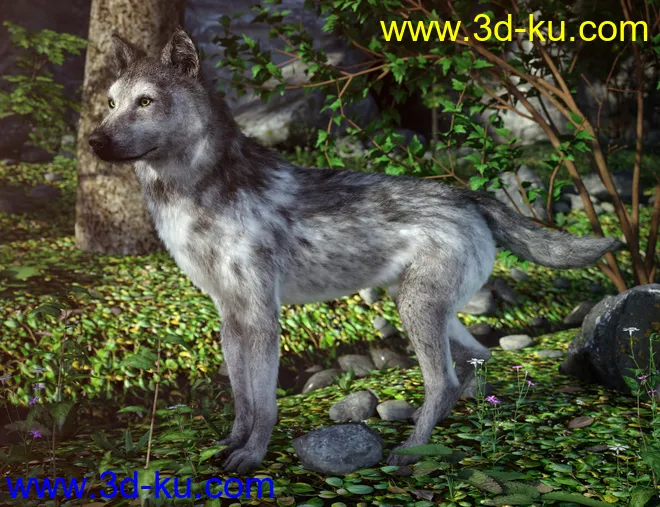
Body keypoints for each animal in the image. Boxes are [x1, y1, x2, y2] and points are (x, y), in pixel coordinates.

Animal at [88, 29, 621, 474]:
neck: (195, 193)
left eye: (146, 101)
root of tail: (467, 194)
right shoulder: (231, 317)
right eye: (111, 102)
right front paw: (230, 446)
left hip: (415, 311)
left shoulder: (262, 317)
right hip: (427, 309)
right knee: (478, 360)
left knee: (444, 381)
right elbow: (242, 401)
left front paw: (252, 456)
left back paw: (411, 452)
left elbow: (264, 404)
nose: (93, 140)